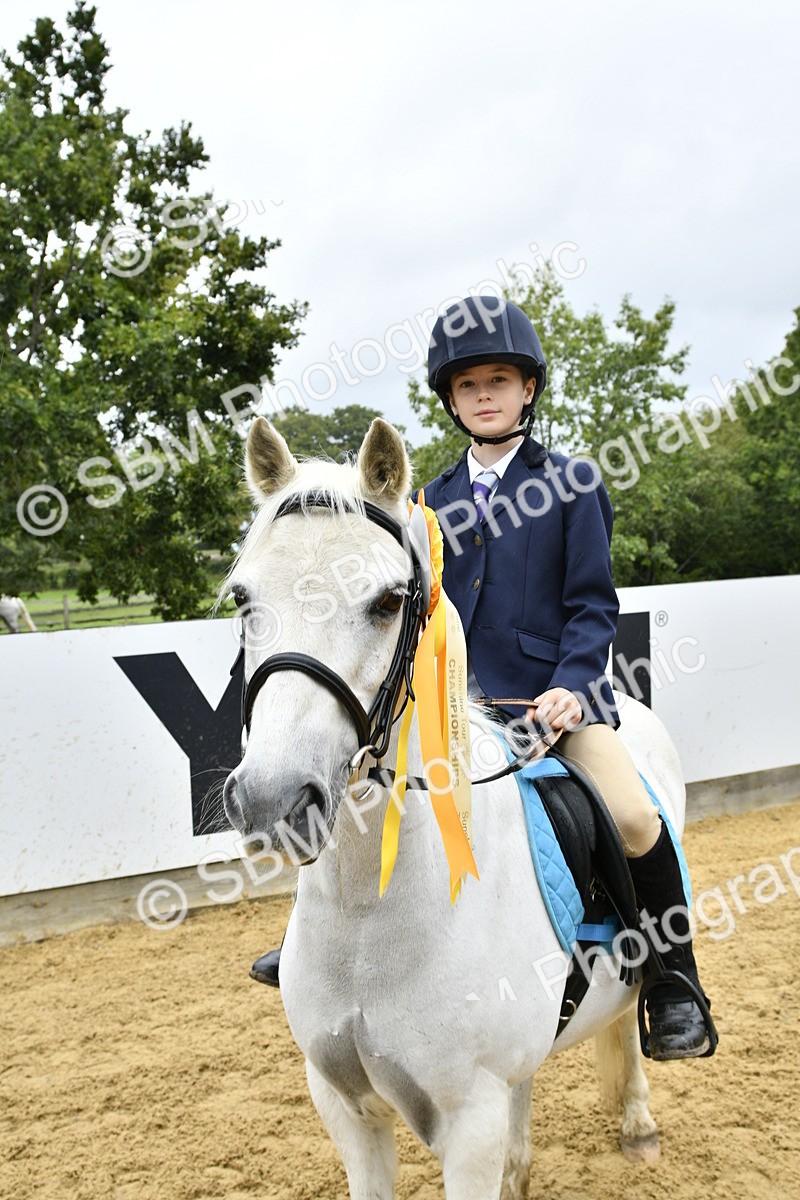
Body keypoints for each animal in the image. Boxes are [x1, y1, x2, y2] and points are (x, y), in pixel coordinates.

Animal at [222, 417, 685, 1200]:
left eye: (387, 600)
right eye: (242, 600)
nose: (273, 800)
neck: (367, 916)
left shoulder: (469, 1123)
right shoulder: (346, 1109)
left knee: (630, 1011)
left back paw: (641, 1120)